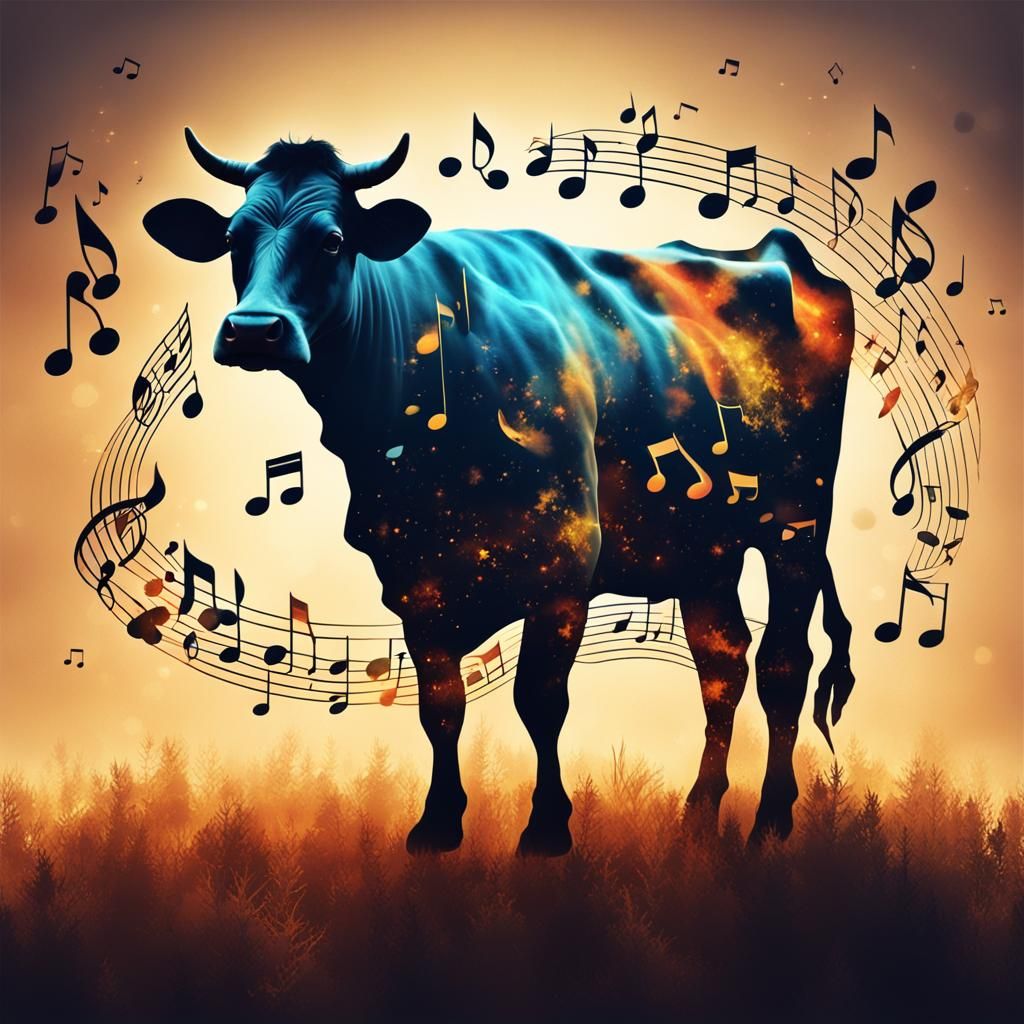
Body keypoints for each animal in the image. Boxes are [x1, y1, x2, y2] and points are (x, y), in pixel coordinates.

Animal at [144, 129, 856, 855]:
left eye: (333, 239)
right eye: (233, 237)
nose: (255, 329)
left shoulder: (564, 564)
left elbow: (539, 701)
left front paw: (546, 827)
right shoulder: (411, 574)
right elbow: (441, 703)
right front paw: (438, 822)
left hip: (798, 523)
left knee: (783, 663)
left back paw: (771, 819)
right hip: (703, 544)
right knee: (723, 664)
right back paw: (699, 815)